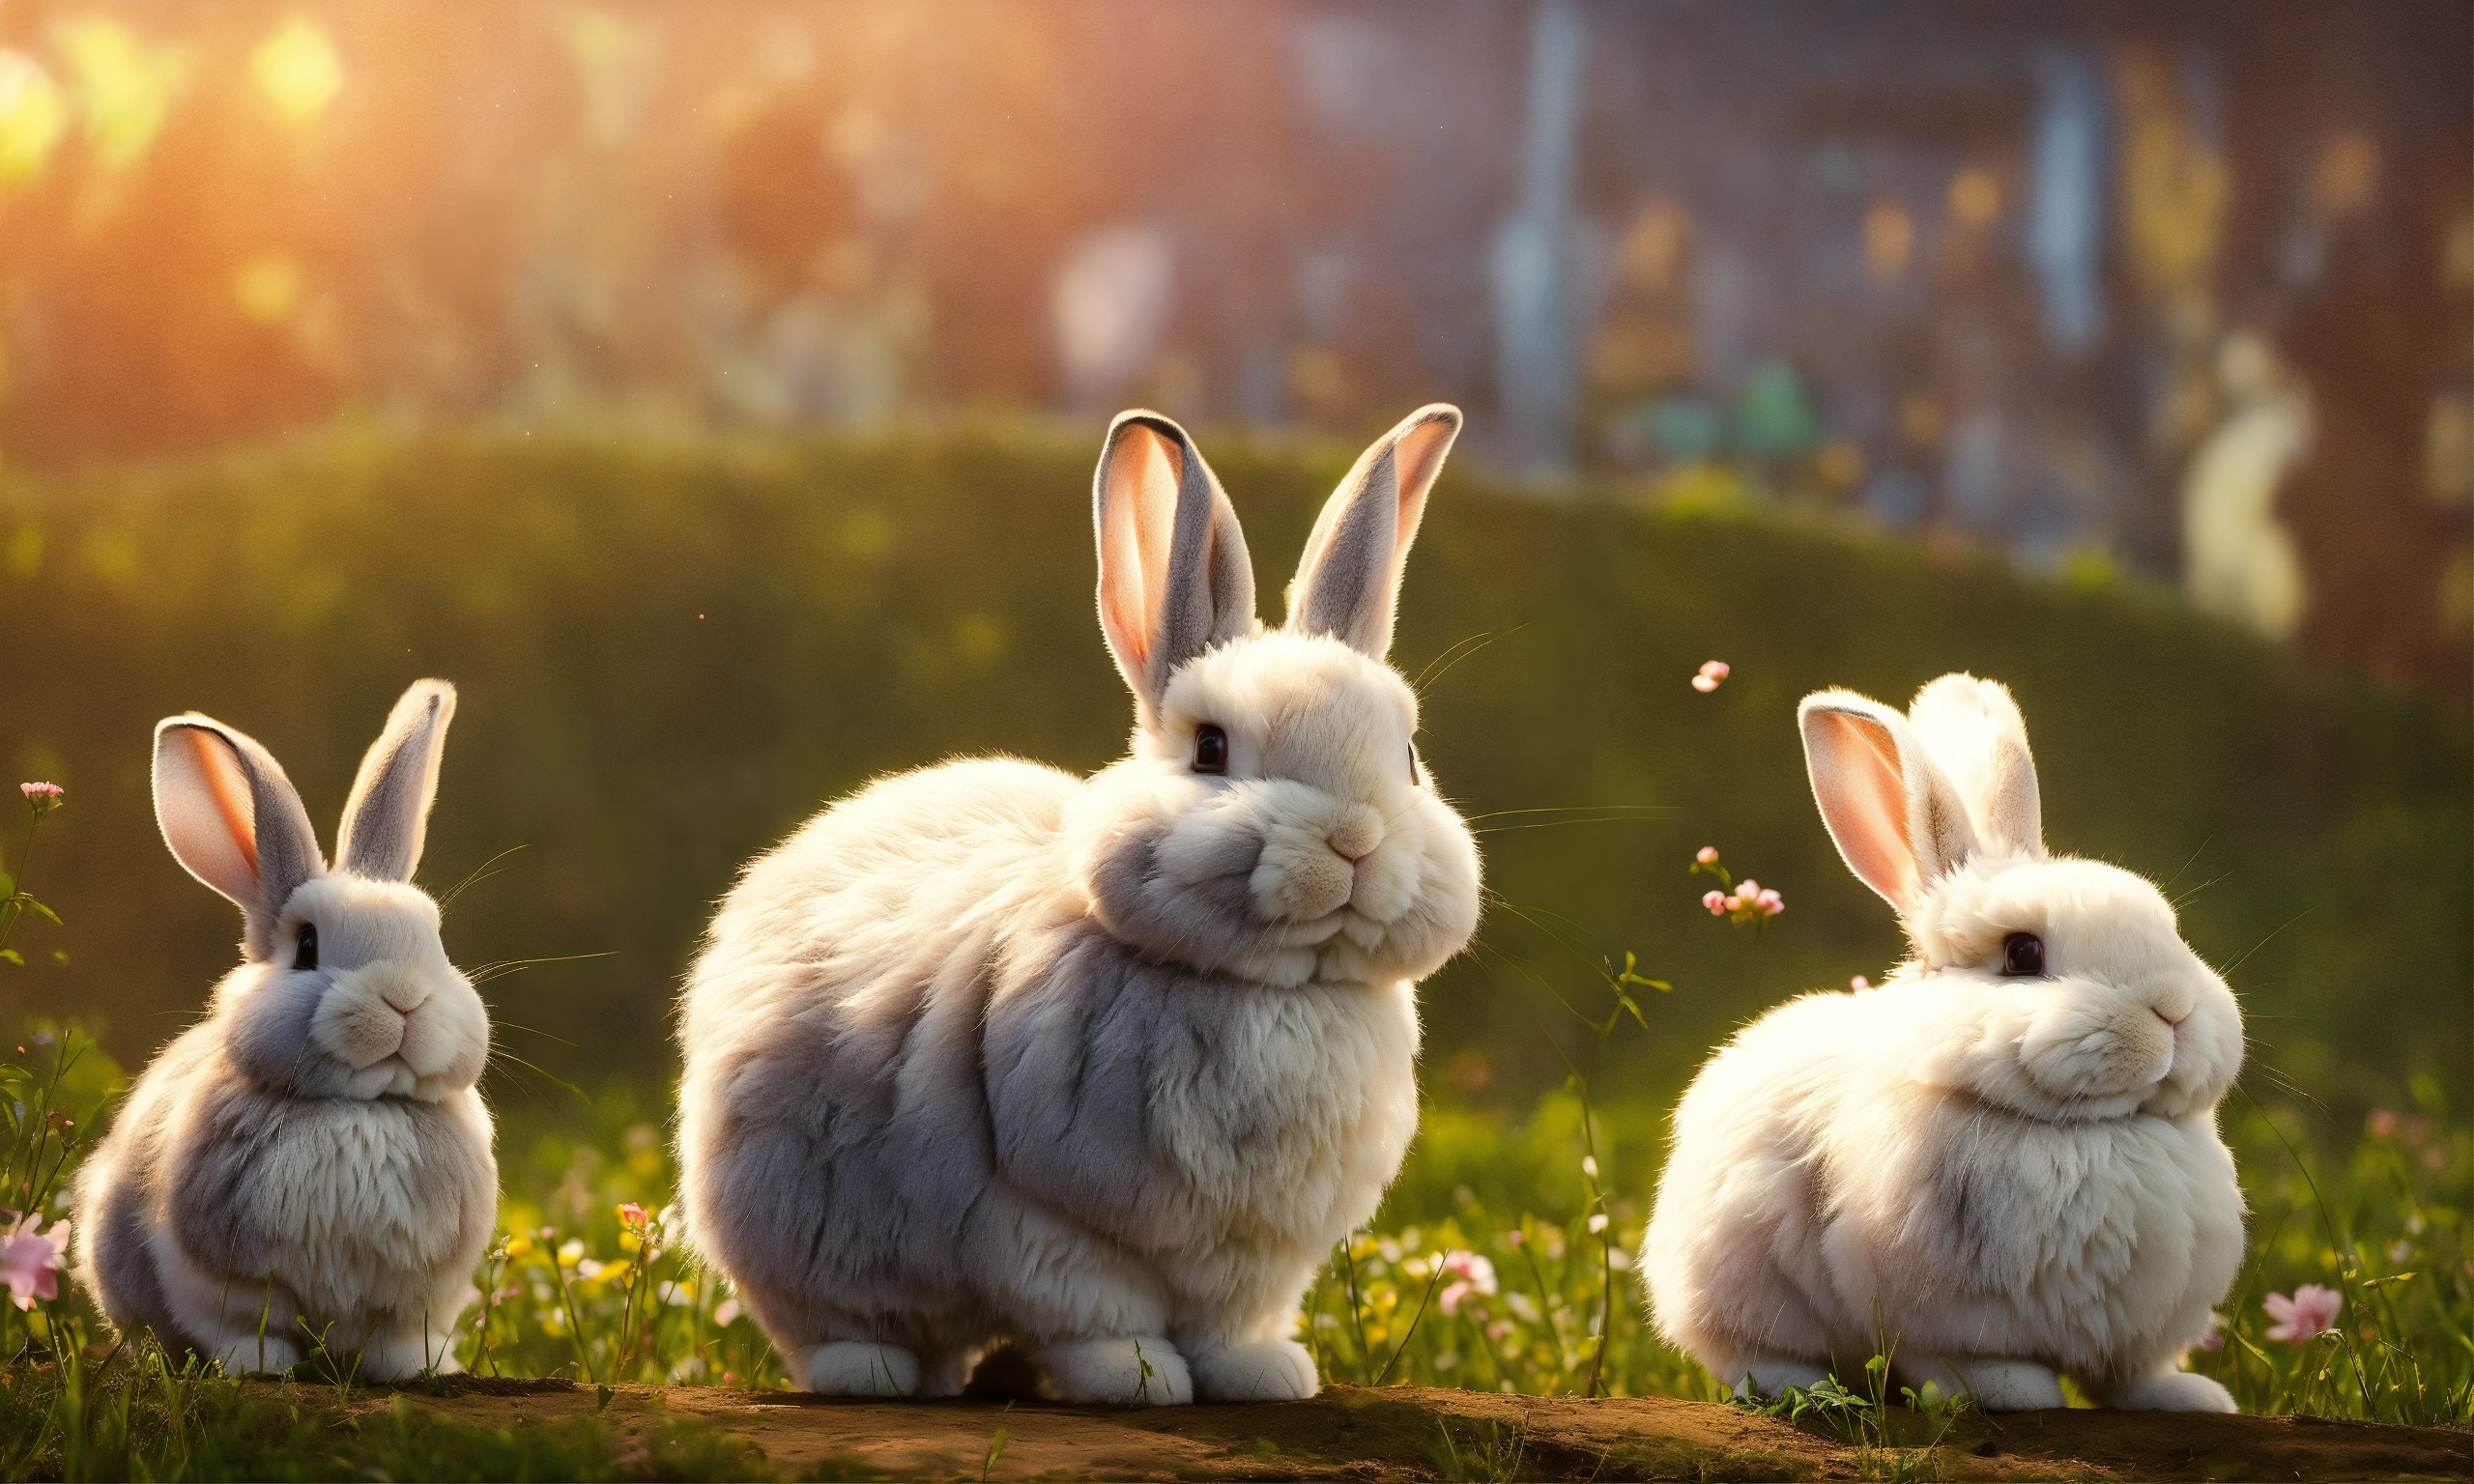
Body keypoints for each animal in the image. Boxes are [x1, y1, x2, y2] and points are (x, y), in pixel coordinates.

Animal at [73, 680, 496, 1381]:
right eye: (306, 946)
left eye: (435, 940)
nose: (405, 1000)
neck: (358, 1108)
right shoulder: (221, 1283)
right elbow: (246, 1328)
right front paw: (257, 1370)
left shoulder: (415, 1301)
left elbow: (398, 1340)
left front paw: (412, 1374)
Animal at [675, 406, 1483, 1405]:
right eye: (1211, 749)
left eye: (1407, 757)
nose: (1357, 841)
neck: (1272, 987)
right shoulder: (1039, 1219)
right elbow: (1096, 1312)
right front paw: (1139, 1383)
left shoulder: (1252, 1254)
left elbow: (1228, 1324)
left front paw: (1265, 1376)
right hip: (792, 1219)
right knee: (834, 1326)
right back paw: (870, 1373)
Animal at [1640, 674, 2246, 1413]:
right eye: (2022, 953)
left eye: (2169, 926)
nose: (2175, 1009)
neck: (2093, 1131)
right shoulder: (1937, 1312)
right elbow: (1963, 1362)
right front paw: (2017, 1392)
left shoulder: (2133, 1328)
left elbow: (2129, 1377)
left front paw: (2192, 1397)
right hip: (1737, 1286)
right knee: (1748, 1357)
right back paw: (1805, 1388)